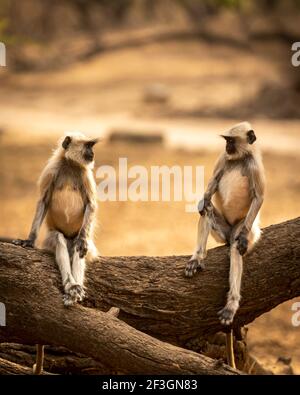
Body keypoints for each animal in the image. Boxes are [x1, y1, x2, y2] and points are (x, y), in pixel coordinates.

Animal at [185, 122, 264, 370]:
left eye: (231, 141)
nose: (227, 147)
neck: (238, 158)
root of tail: (229, 234)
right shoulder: (223, 159)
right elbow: (211, 184)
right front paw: (202, 199)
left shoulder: (255, 164)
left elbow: (258, 197)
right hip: (222, 231)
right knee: (207, 209)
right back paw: (197, 258)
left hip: (239, 227)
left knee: (236, 248)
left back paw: (231, 305)